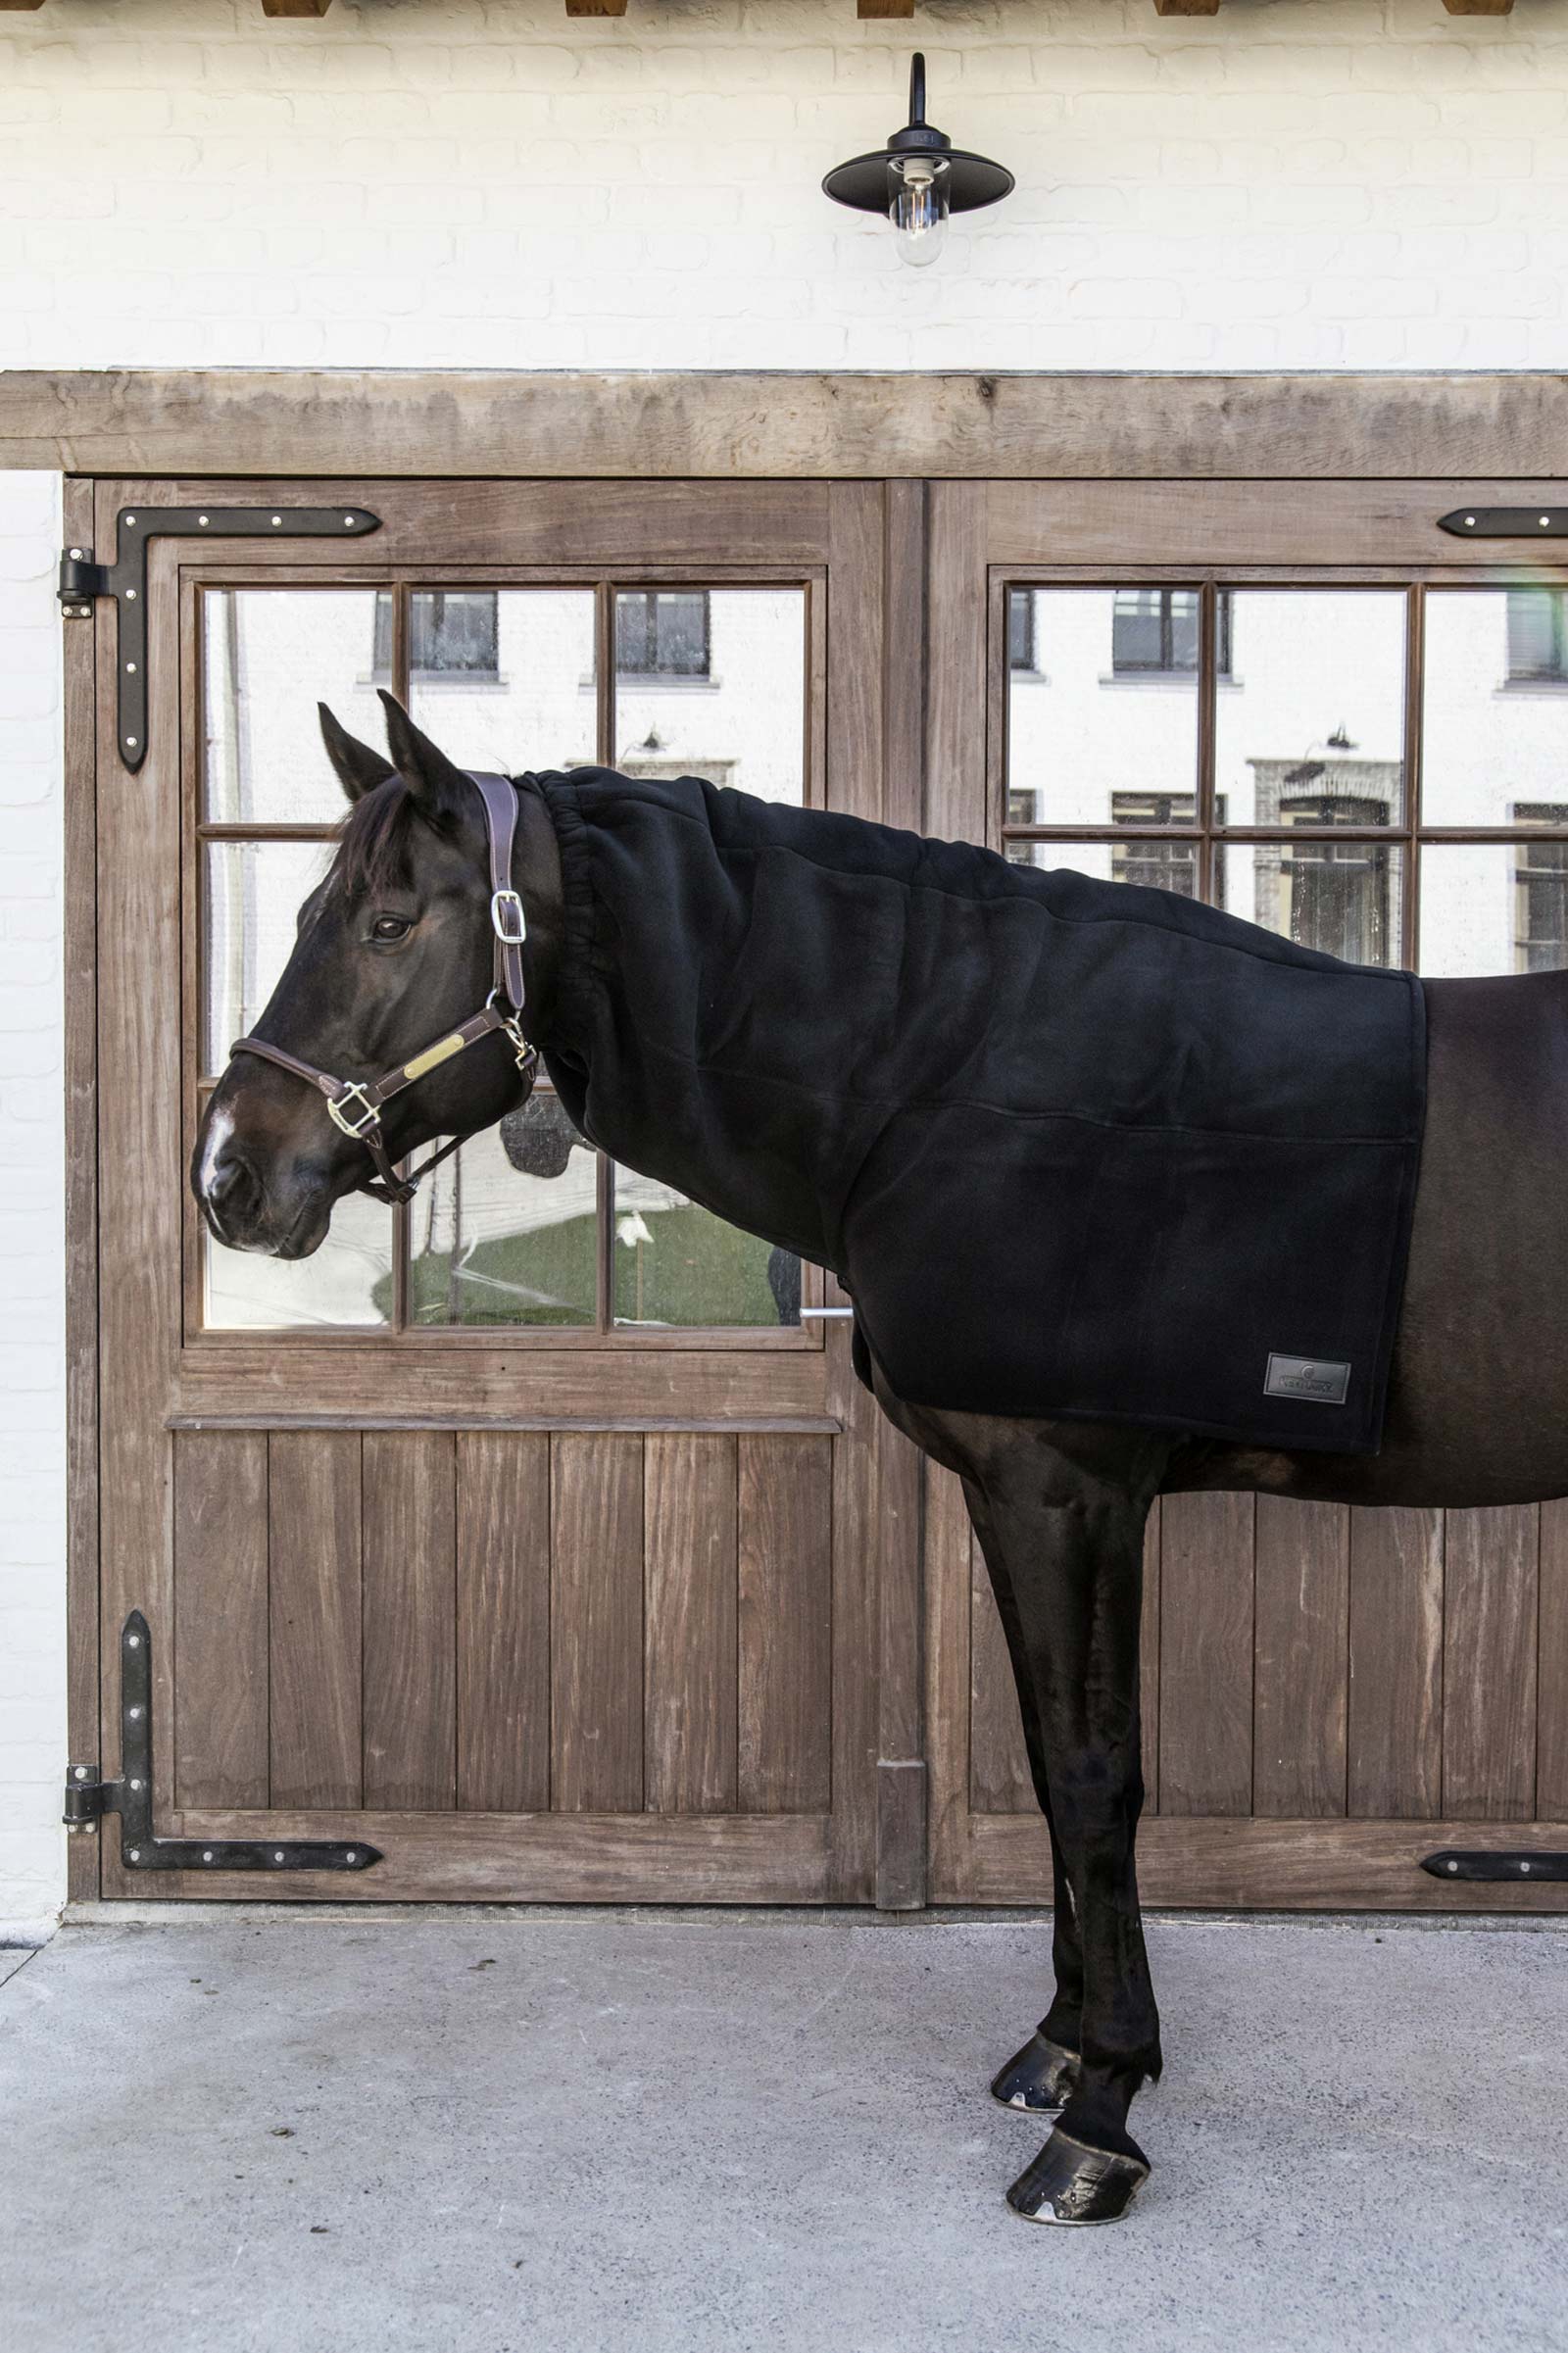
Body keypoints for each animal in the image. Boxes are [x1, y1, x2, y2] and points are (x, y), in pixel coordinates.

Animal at [193, 691, 1568, 2227]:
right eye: (306, 911)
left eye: (385, 922)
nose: (228, 1175)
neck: (955, 1070)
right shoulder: (1017, 1496)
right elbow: (1043, 1759)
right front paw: (1057, 2047)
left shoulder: (1069, 1492)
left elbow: (1092, 1775)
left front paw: (1099, 2115)